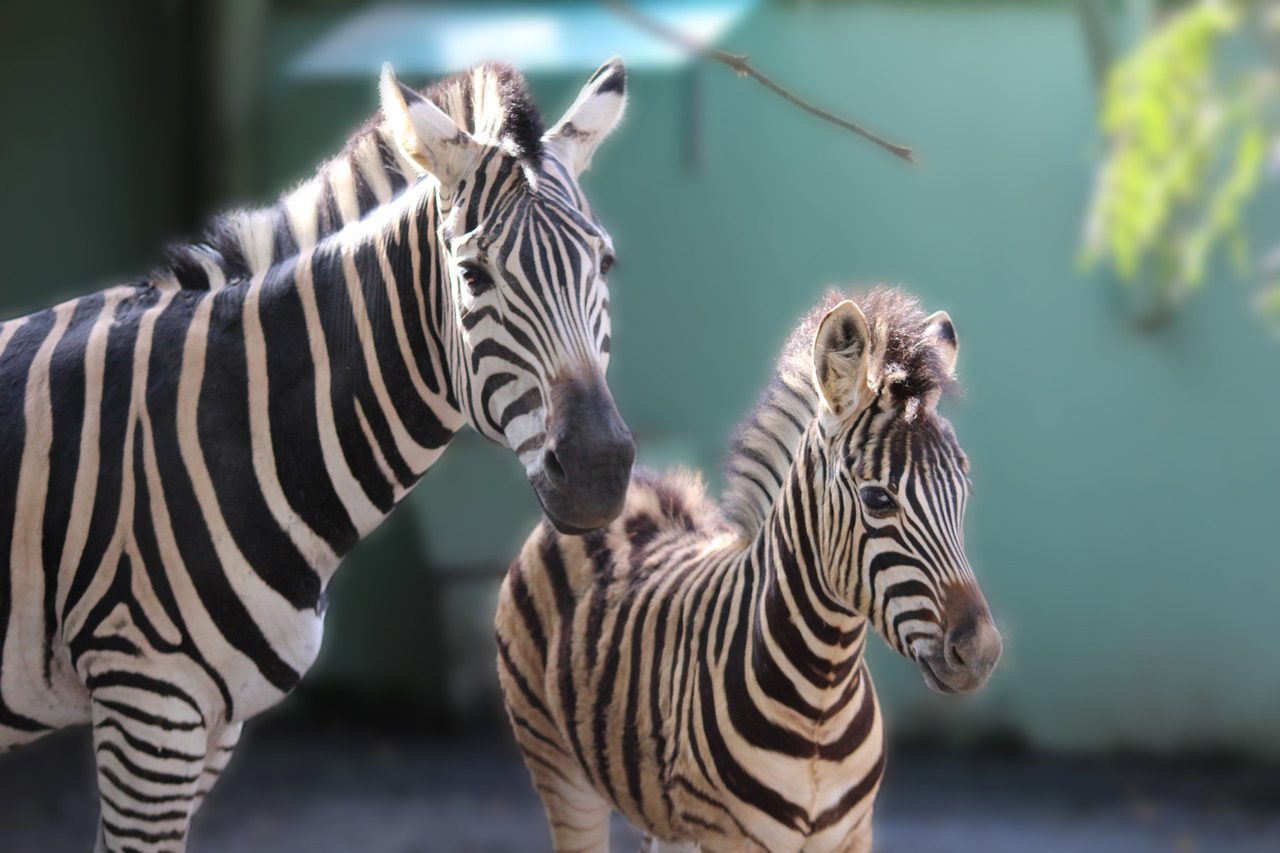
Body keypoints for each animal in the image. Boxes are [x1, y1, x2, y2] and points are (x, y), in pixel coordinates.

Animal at [0, 56, 634, 845]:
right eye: (473, 275)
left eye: (605, 264)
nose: (599, 472)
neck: (233, 425)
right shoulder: (147, 698)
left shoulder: (211, 723)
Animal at [494, 286, 1003, 850]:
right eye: (877, 499)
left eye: (964, 492)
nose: (981, 653)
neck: (822, 704)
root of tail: (625, 492)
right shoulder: (727, 837)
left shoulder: (852, 834)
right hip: (558, 768)